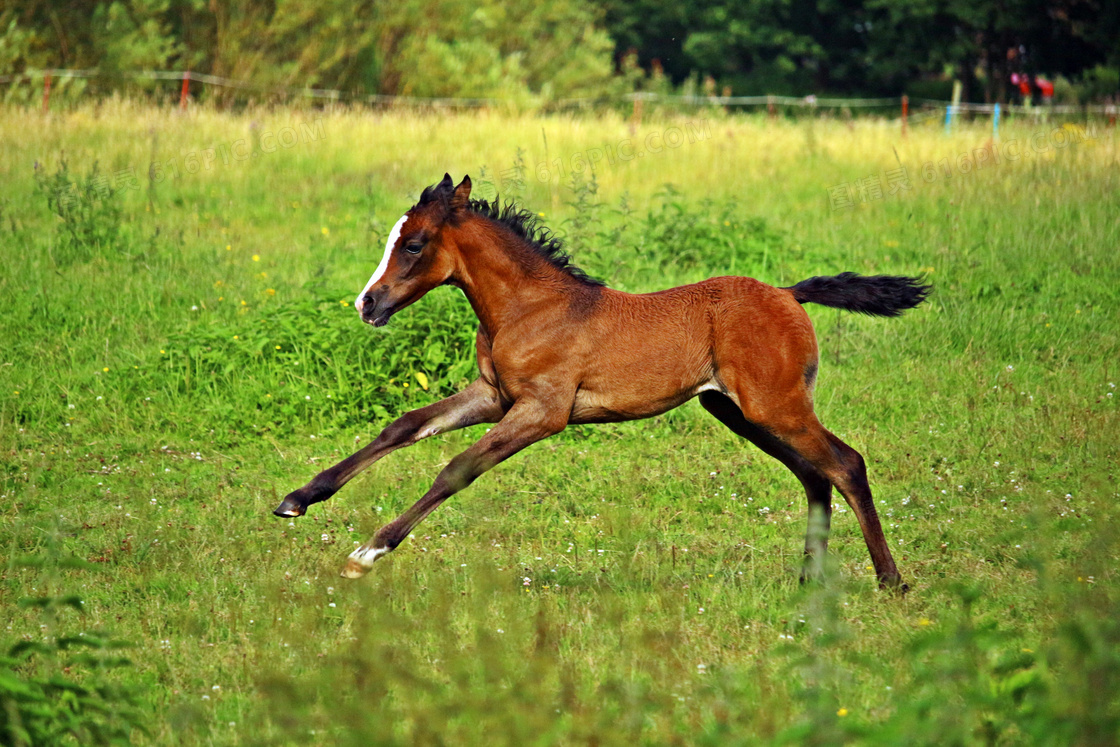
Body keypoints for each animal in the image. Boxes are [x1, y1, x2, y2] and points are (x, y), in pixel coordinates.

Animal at [275, 175, 931, 591]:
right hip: (741, 412)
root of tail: (789, 294)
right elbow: (404, 426)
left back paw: (890, 581)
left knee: (845, 464)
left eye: (413, 244)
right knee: (814, 475)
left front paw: (366, 553)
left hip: (777, 407)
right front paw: (297, 500)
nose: (367, 304)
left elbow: (456, 469)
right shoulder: (494, 397)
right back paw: (807, 580)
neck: (529, 307)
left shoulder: (543, 412)